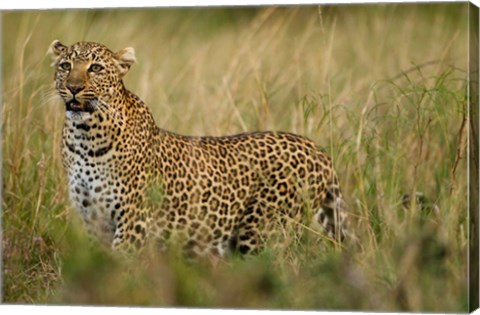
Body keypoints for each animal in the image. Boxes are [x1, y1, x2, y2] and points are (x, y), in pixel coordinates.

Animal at [47, 40, 350, 256]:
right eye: (65, 65)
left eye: (95, 68)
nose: (73, 88)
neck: (85, 140)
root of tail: (318, 150)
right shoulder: (92, 222)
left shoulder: (134, 222)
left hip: (260, 230)